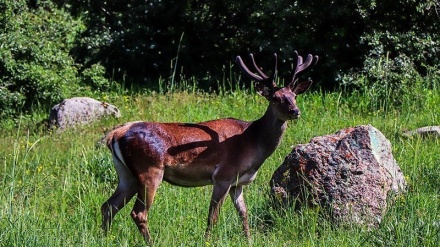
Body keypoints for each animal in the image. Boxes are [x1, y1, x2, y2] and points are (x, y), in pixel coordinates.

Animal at [101, 51, 318, 244]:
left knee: (108, 206)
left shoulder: (238, 183)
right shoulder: (223, 176)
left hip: (126, 174)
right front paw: (207, 241)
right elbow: (213, 216)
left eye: (294, 96)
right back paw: (150, 242)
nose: (295, 111)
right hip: (149, 170)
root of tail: (115, 134)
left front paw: (249, 240)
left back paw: (104, 238)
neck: (251, 143)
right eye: (275, 98)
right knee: (138, 213)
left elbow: (244, 214)